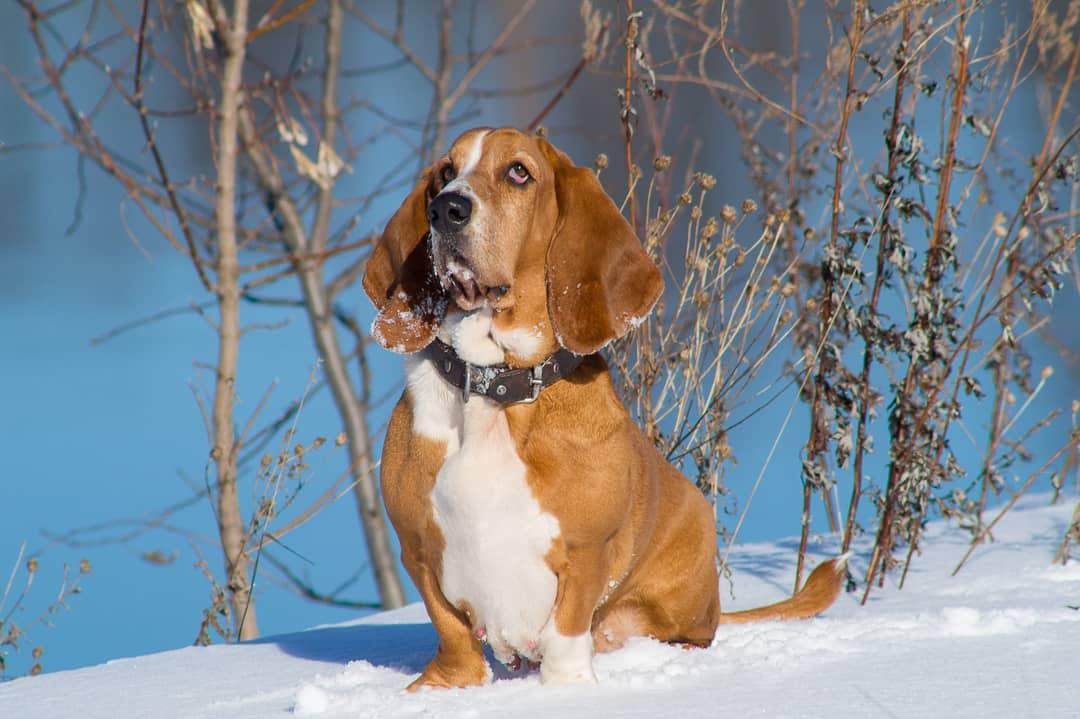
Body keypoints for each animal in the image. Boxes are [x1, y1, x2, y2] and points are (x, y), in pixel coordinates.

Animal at [362, 127, 842, 690]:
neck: (493, 385)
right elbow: (451, 631)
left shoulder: (586, 553)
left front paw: (566, 689)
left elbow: (567, 630)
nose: (446, 208)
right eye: (445, 172)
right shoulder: (417, 548)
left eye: (518, 172)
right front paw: (447, 687)